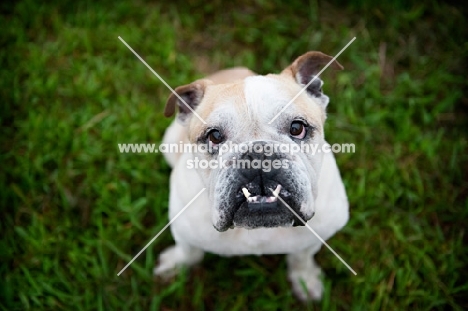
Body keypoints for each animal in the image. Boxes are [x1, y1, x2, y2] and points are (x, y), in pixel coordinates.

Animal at [155, 51, 350, 302]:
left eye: (297, 128)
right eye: (214, 136)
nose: (258, 154)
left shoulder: (317, 236)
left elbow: (302, 257)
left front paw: (305, 280)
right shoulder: (183, 230)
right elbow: (188, 251)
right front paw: (175, 265)